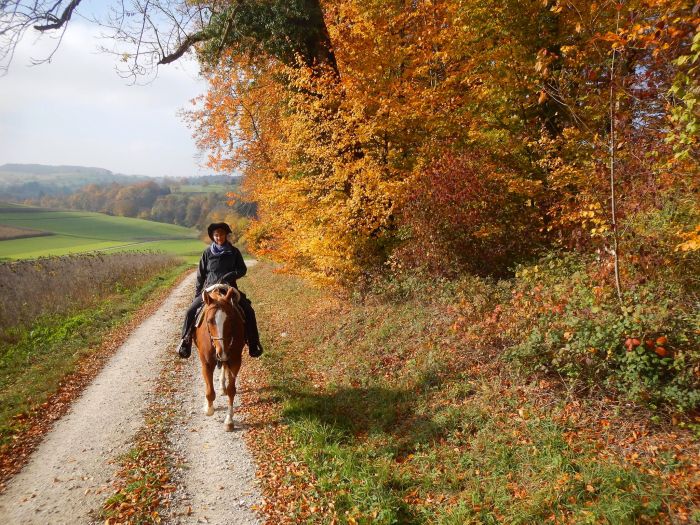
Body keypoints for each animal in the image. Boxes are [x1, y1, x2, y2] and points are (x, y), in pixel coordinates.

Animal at [191, 282, 246, 430]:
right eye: (209, 321)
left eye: (230, 319)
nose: (222, 351)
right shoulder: (206, 363)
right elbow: (209, 390)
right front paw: (209, 408)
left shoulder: (235, 360)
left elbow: (232, 390)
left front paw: (229, 420)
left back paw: (222, 387)